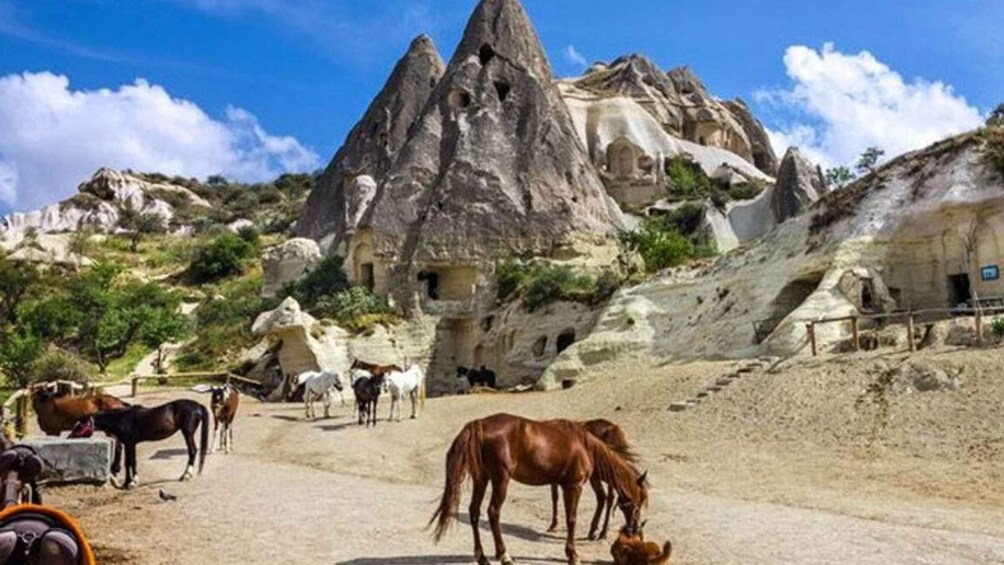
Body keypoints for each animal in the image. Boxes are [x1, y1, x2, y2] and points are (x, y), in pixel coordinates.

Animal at [69, 397, 208, 491]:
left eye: (80, 426)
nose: (70, 437)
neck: (122, 418)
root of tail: (198, 406)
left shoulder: (130, 443)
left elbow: (132, 461)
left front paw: (133, 482)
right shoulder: (129, 443)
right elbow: (128, 462)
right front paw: (126, 483)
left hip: (188, 433)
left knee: (192, 451)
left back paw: (185, 475)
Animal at [427, 411, 646, 565]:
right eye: (639, 502)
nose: (634, 529)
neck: (585, 445)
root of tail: (480, 424)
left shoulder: (562, 485)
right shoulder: (573, 487)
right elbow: (572, 519)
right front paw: (573, 555)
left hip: (482, 479)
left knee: (474, 512)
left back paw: (482, 557)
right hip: (500, 480)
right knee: (493, 512)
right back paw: (504, 555)